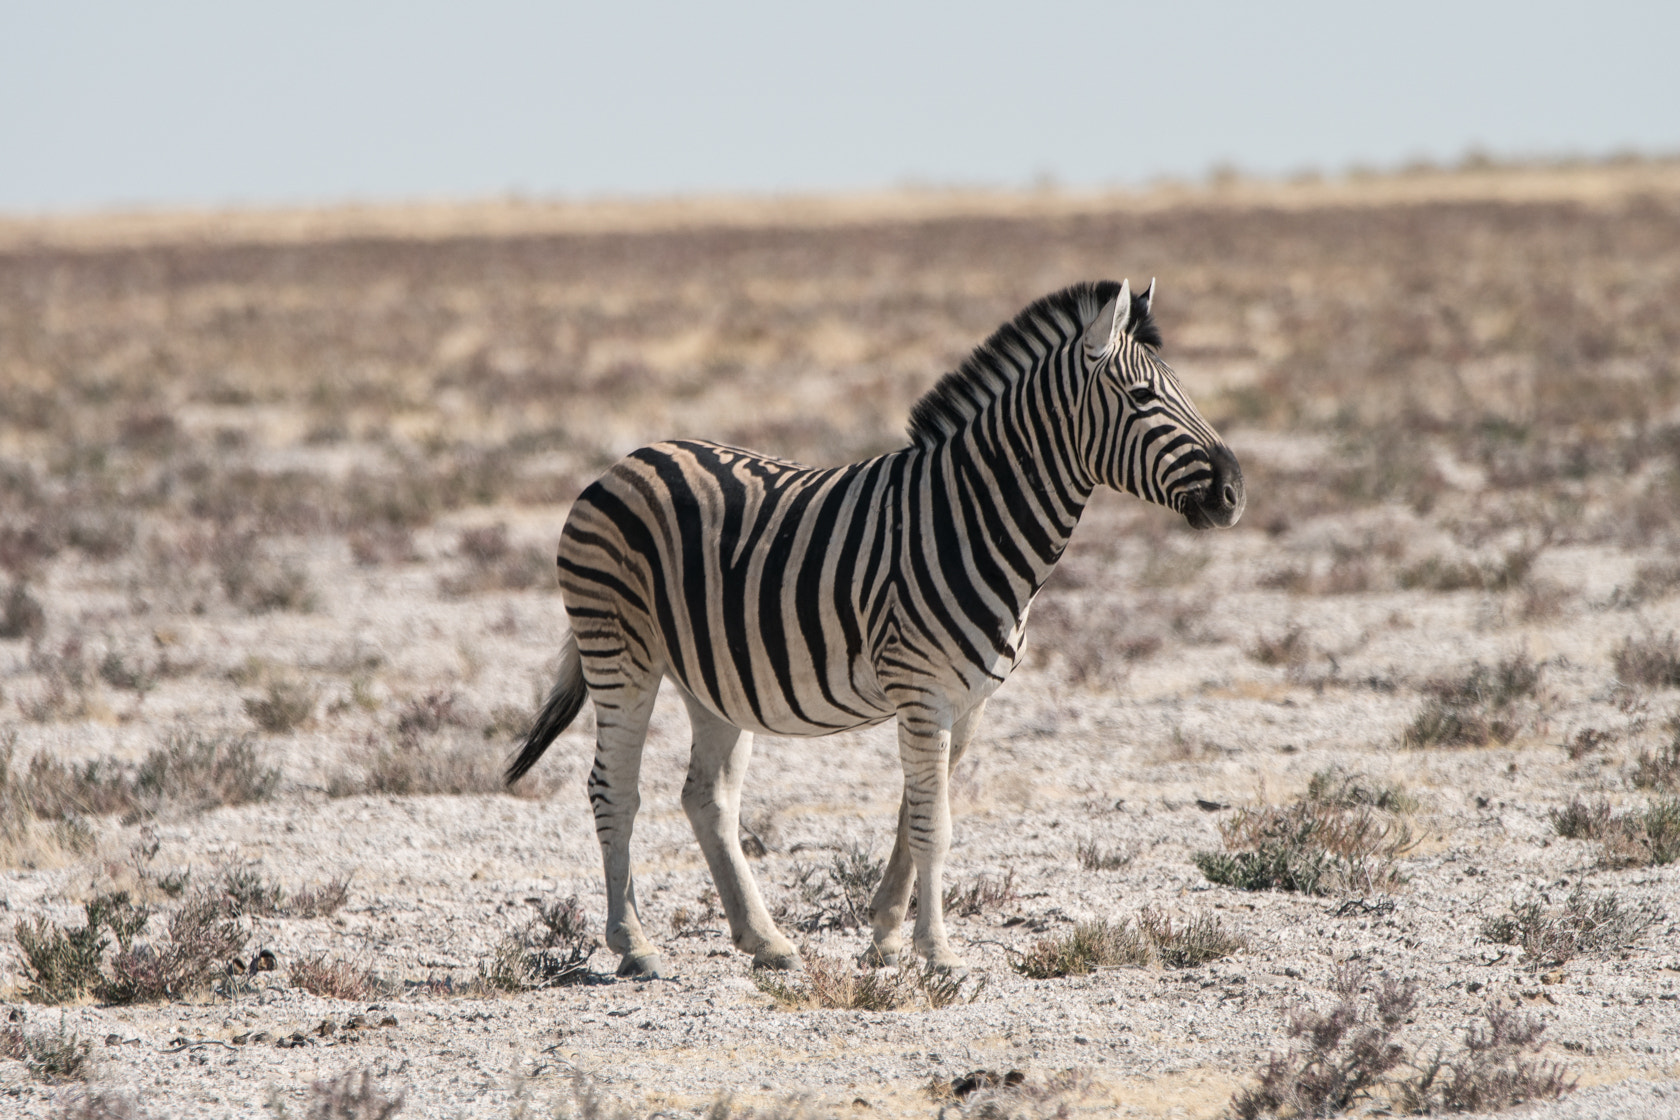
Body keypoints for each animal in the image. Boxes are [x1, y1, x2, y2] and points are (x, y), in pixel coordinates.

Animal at [503, 280, 1243, 980]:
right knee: (613, 789)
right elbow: (934, 825)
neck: (970, 518)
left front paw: (886, 936)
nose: (1234, 491)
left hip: (710, 674)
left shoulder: (967, 701)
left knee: (706, 798)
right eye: (1143, 396)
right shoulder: (922, 690)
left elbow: (912, 817)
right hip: (620, 653)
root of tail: (624, 461)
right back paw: (635, 946)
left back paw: (764, 941)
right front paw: (938, 954)